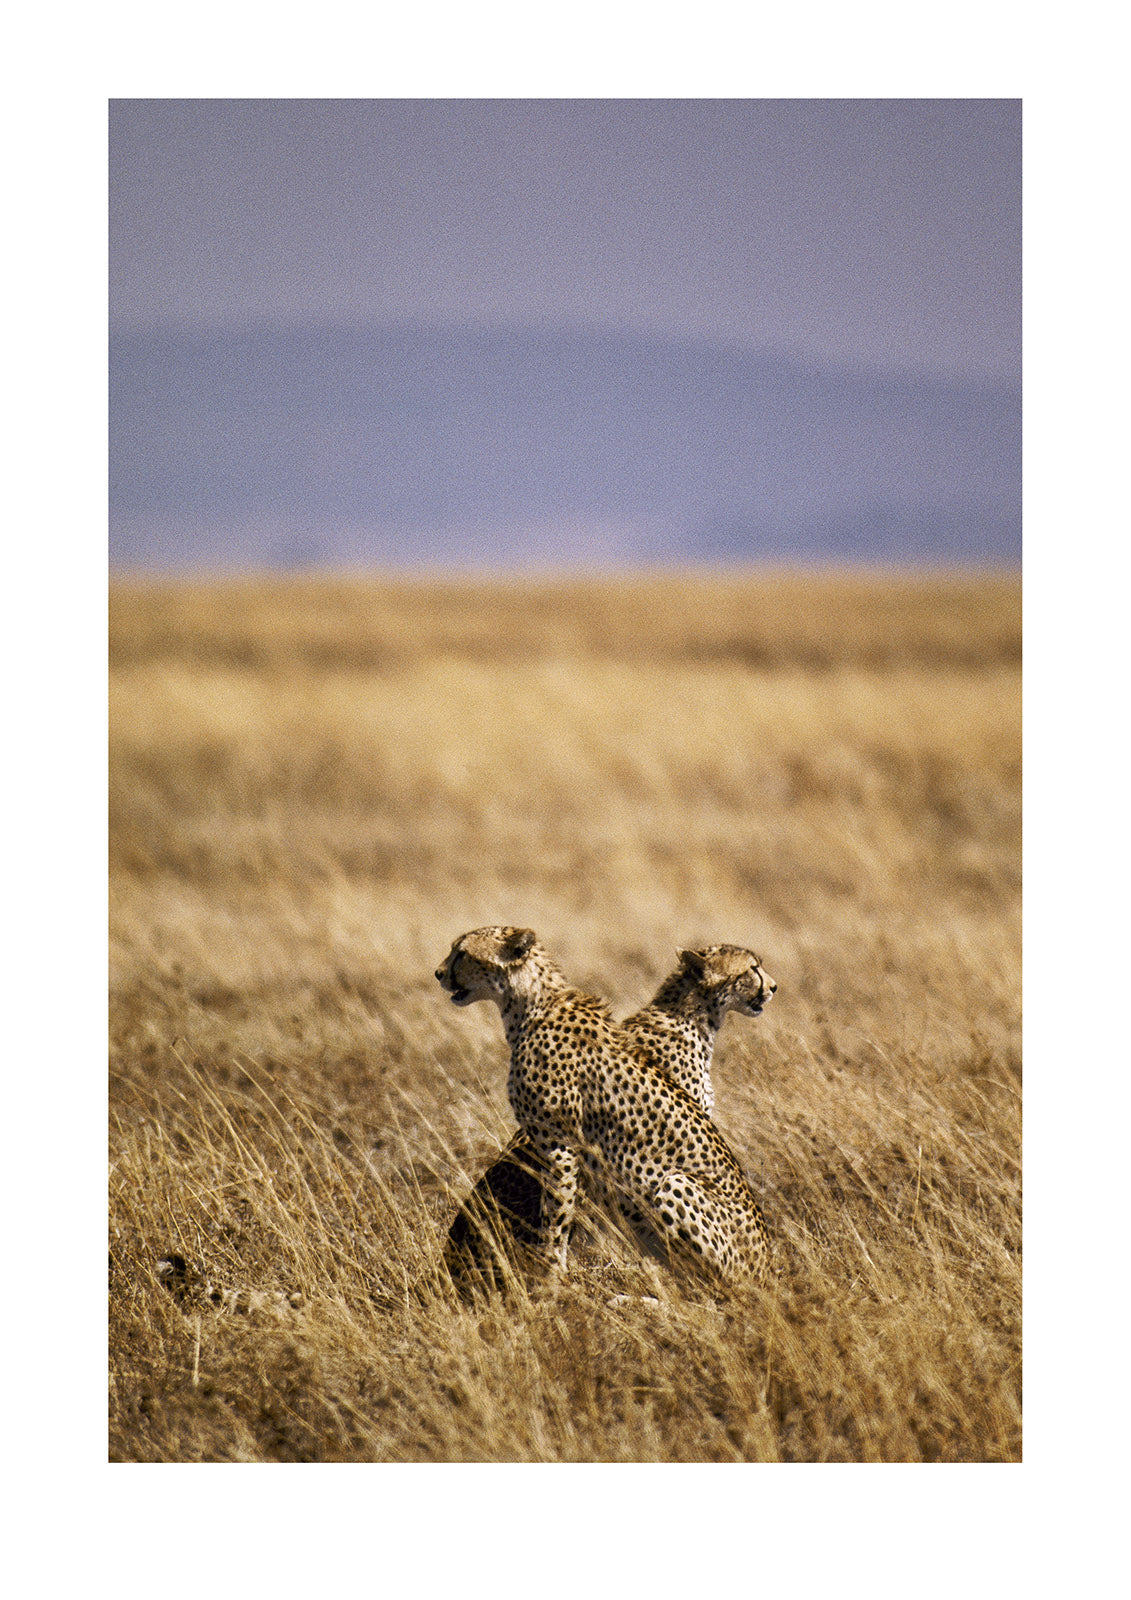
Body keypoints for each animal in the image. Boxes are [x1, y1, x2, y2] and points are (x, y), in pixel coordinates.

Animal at [435, 927, 772, 1290]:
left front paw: (553, 1278)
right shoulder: (559, 1145)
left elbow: (558, 1216)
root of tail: (769, 1266)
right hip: (674, 1183)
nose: (438, 973)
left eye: (462, 953)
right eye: (753, 968)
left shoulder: (561, 1146)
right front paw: (552, 1279)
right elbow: (556, 1218)